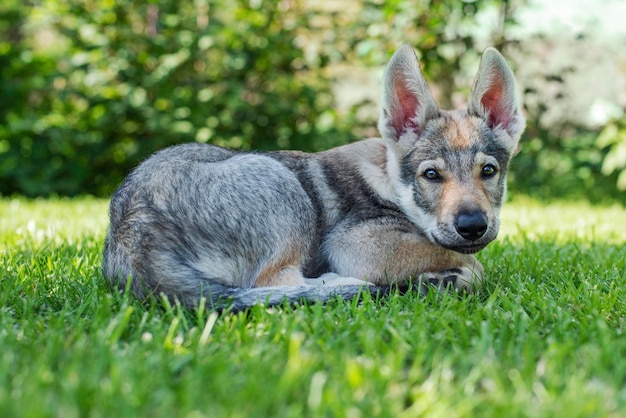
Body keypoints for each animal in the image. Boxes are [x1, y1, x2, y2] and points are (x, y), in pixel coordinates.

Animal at [102, 45, 520, 310]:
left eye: (488, 171)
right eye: (431, 174)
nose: (473, 226)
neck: (390, 183)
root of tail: (133, 233)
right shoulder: (358, 244)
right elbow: (473, 265)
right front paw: (445, 275)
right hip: (282, 186)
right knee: (271, 283)